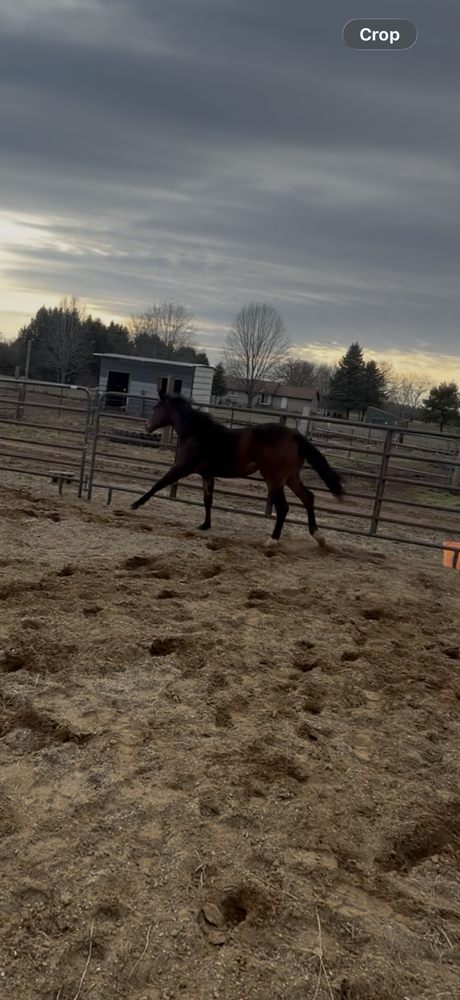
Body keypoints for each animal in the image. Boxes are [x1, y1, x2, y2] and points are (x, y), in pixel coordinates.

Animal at [131, 391, 344, 548]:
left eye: (156, 407)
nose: (147, 425)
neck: (196, 433)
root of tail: (295, 436)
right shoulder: (207, 474)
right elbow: (208, 500)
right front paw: (205, 525)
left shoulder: (181, 468)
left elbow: (159, 484)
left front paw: (135, 504)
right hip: (291, 477)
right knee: (308, 498)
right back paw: (318, 537)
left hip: (274, 478)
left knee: (283, 507)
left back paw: (272, 541)